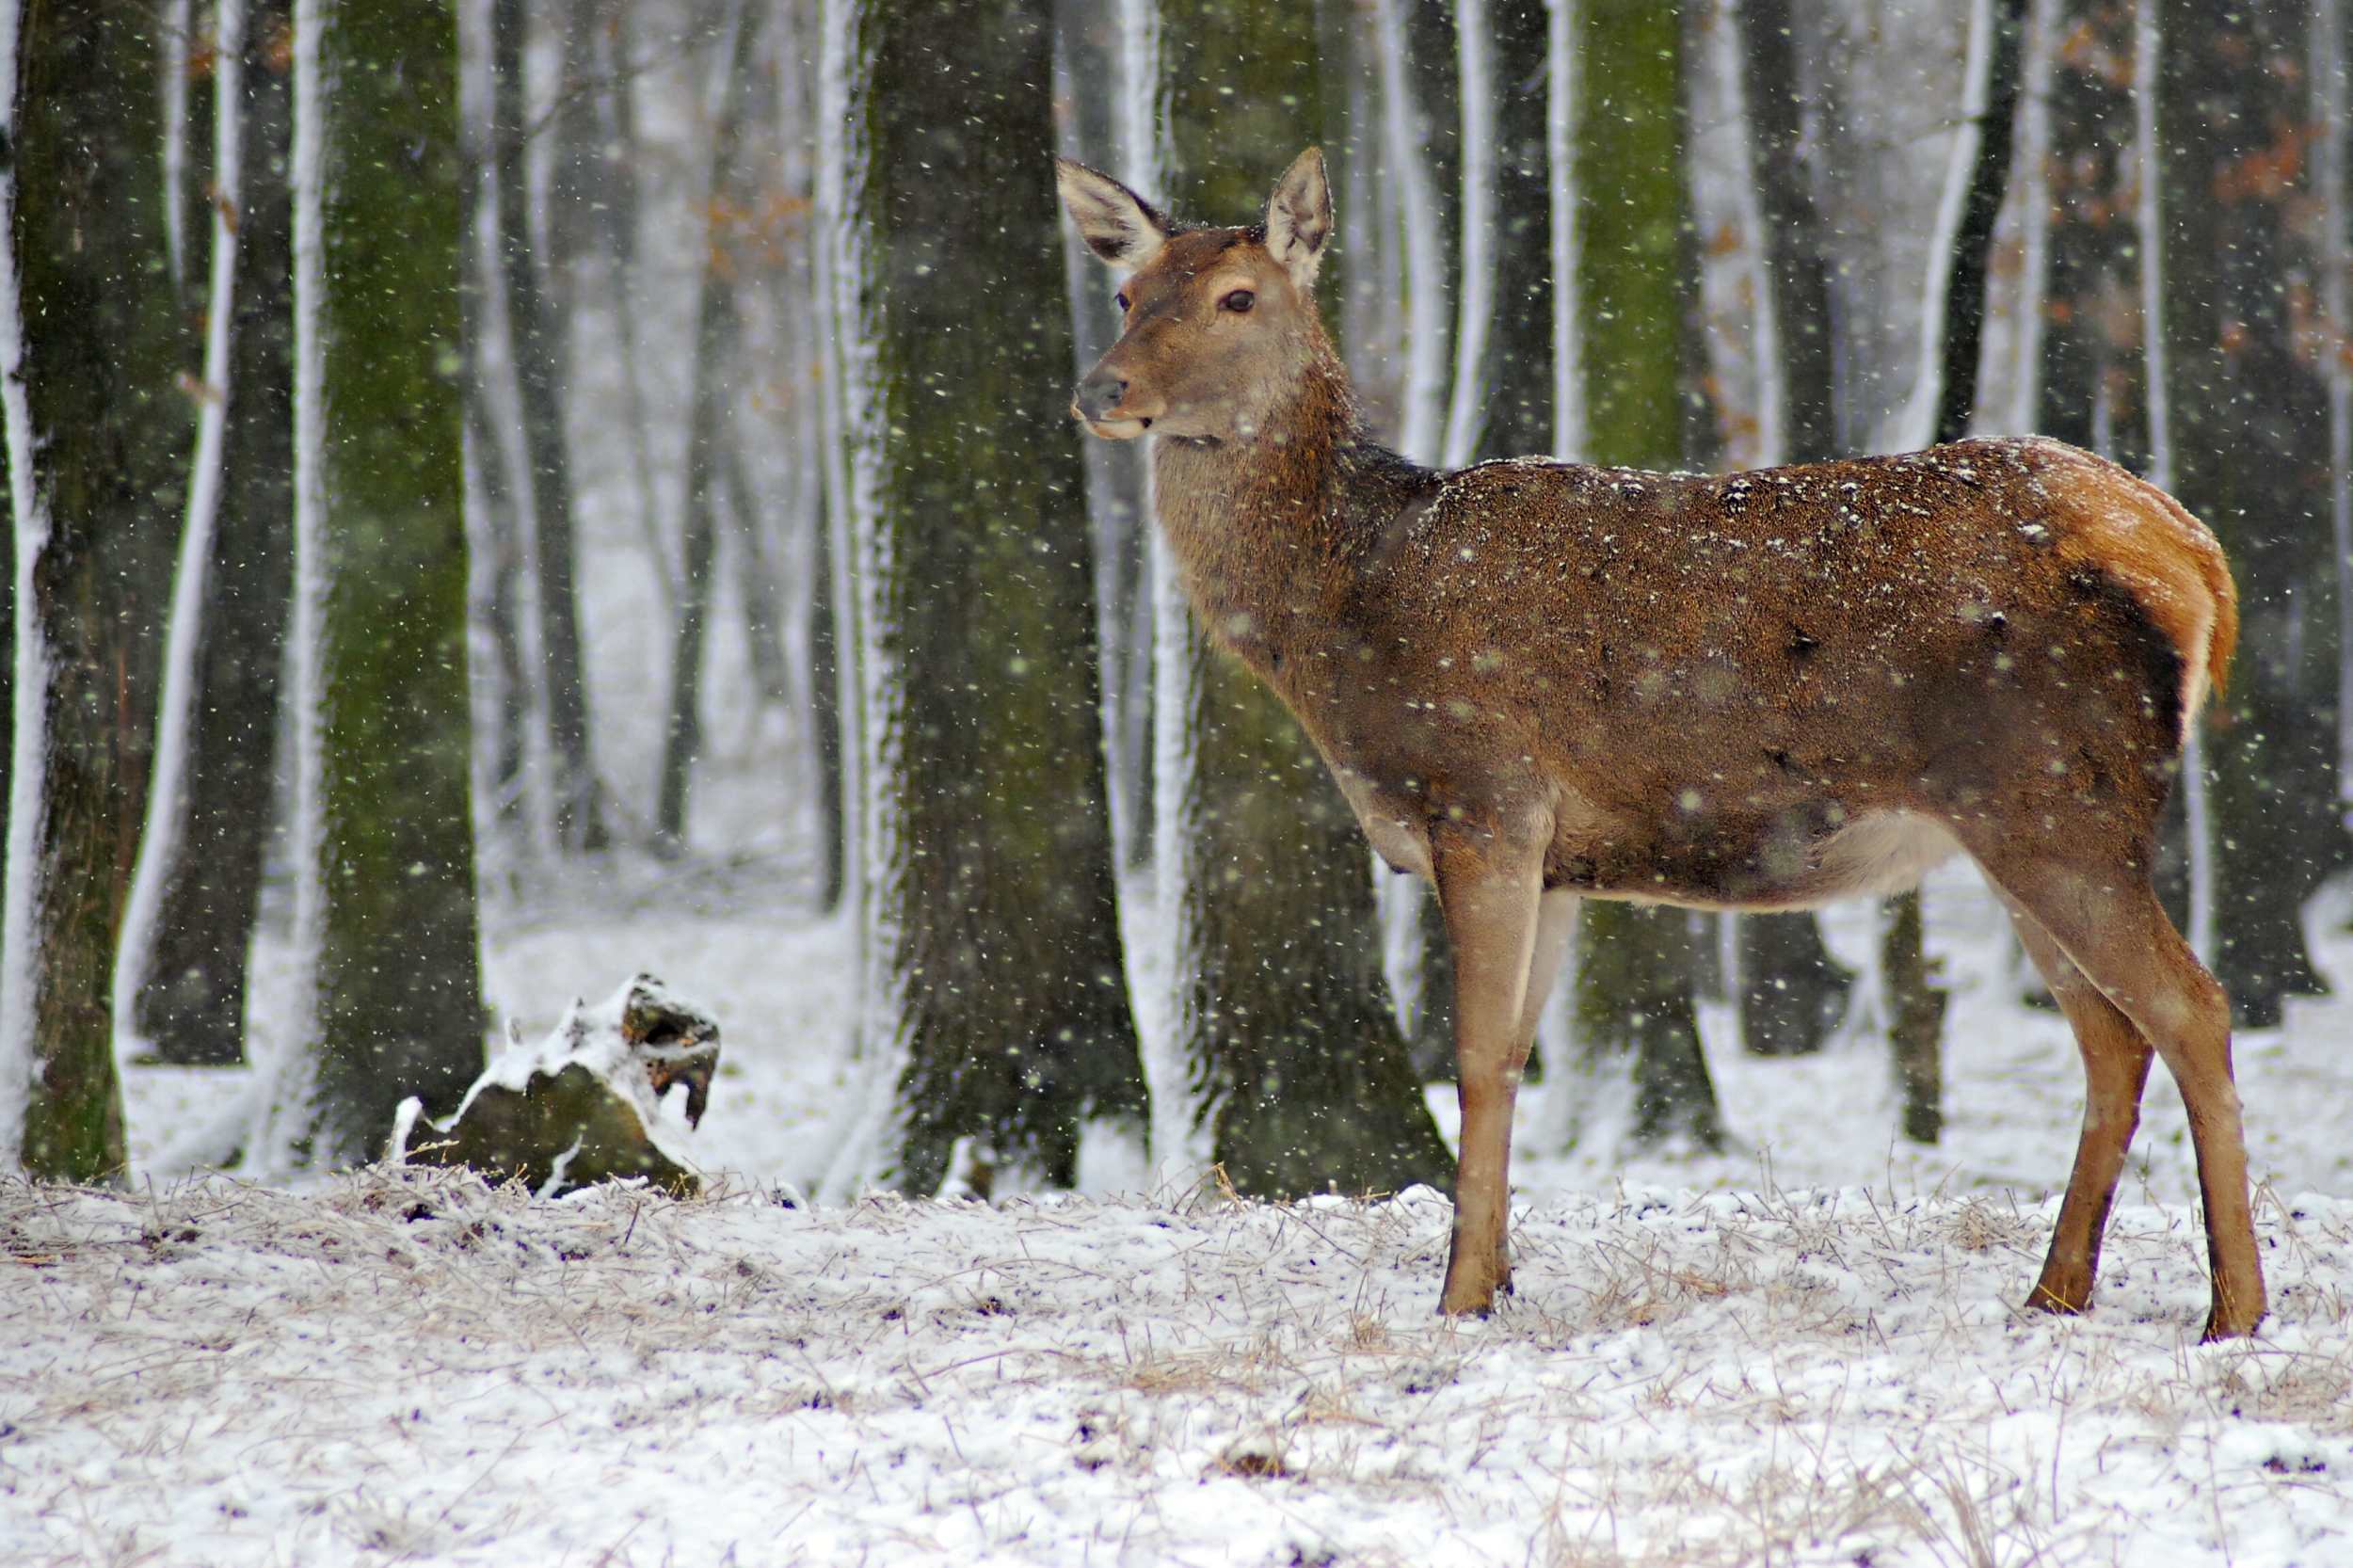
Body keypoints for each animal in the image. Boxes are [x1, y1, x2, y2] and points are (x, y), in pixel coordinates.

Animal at [1064, 146, 2259, 1336]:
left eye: (1238, 296)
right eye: (1126, 293)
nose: (1100, 389)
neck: (1348, 613)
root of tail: (2194, 556)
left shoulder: (1484, 798)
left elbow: (1474, 1058)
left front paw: (1457, 1298)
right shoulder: (1555, 861)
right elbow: (1513, 1053)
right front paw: (1500, 1278)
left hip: (2056, 797)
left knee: (2191, 1006)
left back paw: (2232, 1309)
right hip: (2018, 823)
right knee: (2111, 1036)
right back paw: (2054, 1290)